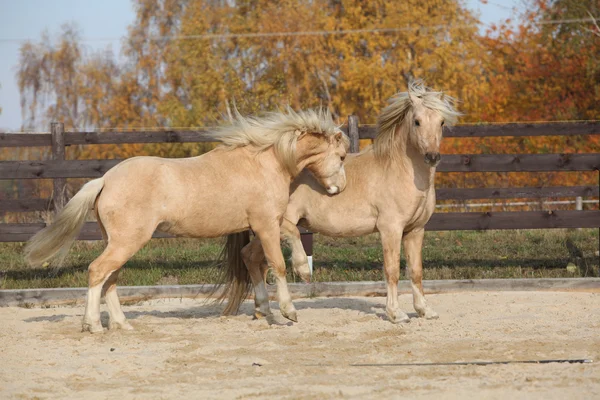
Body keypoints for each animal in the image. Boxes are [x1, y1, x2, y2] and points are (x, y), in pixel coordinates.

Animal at [25, 108, 350, 332]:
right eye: (343, 156)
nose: (340, 189)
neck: (264, 162)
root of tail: (105, 180)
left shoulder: (269, 221)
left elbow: (291, 235)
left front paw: (302, 271)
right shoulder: (265, 223)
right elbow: (276, 265)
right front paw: (288, 311)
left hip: (118, 242)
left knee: (110, 278)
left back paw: (122, 325)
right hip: (128, 241)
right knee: (97, 272)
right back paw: (93, 325)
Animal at [223, 80, 462, 322]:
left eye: (441, 122)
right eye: (417, 121)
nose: (432, 157)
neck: (399, 171)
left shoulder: (415, 230)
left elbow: (416, 271)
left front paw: (425, 310)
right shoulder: (391, 229)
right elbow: (392, 270)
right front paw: (396, 314)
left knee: (252, 257)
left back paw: (263, 310)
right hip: (271, 227)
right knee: (257, 256)